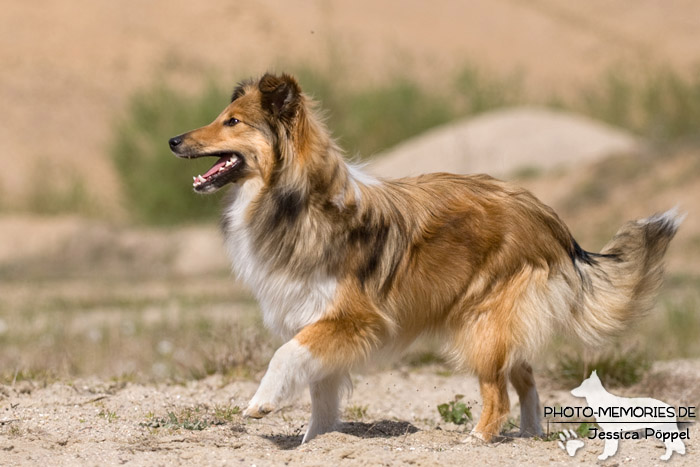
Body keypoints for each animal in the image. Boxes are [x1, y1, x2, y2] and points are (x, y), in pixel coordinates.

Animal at [167, 72, 680, 442]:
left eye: (233, 122)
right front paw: (318, 443)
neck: (296, 201)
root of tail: (552, 219)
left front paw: (262, 403)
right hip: (501, 322)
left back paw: (478, 440)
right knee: (526, 378)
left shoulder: (351, 318)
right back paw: (529, 436)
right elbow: (321, 395)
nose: (173, 140)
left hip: (480, 323)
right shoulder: (314, 316)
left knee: (499, 392)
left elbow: (285, 354)